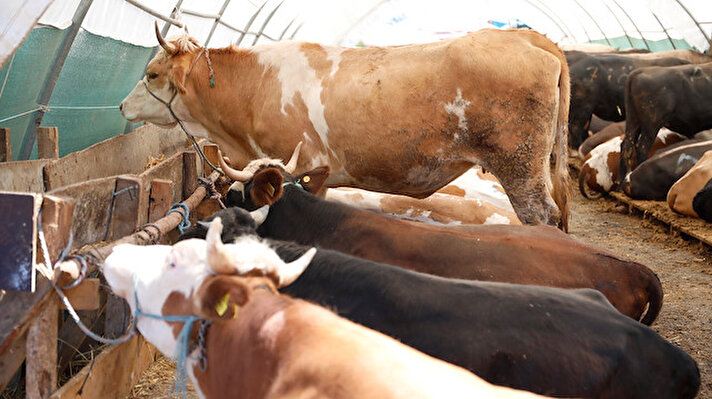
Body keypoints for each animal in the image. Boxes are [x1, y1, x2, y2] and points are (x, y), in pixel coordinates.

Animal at [118, 25, 572, 230]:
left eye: (152, 73)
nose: (122, 105)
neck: (255, 85)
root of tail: (525, 36)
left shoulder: (303, 166)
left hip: (520, 169)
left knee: (542, 217)